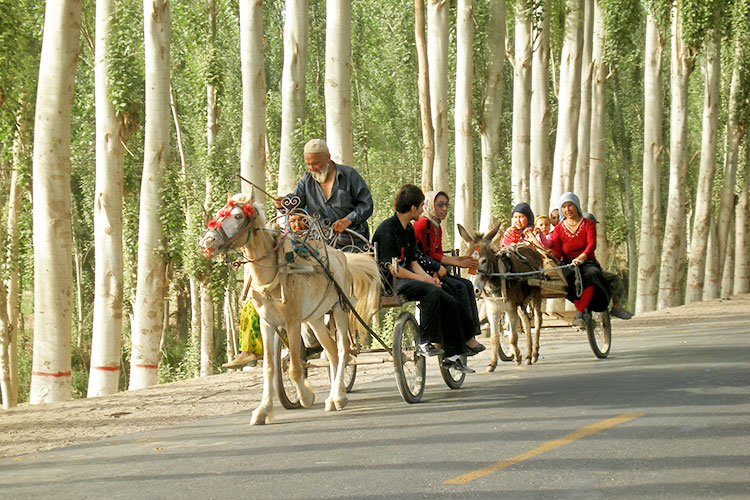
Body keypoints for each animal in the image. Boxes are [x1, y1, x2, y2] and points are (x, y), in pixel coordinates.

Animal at [200, 193, 382, 424]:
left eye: (238, 215)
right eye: (218, 214)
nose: (207, 242)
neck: (275, 273)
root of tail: (342, 256)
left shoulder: (293, 322)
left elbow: (295, 368)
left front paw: (306, 396)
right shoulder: (268, 323)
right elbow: (270, 367)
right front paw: (263, 409)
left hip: (340, 309)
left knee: (343, 349)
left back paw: (339, 397)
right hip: (315, 318)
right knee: (331, 351)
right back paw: (334, 395)